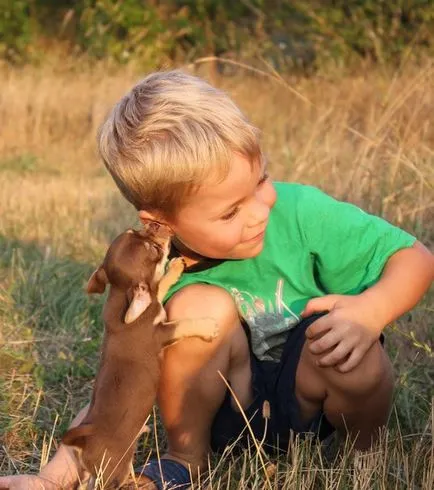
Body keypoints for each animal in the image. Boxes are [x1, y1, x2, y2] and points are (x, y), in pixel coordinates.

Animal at [61, 224, 217, 488]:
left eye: (135, 230)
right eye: (152, 249)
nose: (156, 225)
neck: (121, 293)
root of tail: (84, 438)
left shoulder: (153, 301)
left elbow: (159, 286)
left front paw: (174, 269)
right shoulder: (161, 333)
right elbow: (183, 324)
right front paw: (208, 326)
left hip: (91, 471)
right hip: (115, 470)